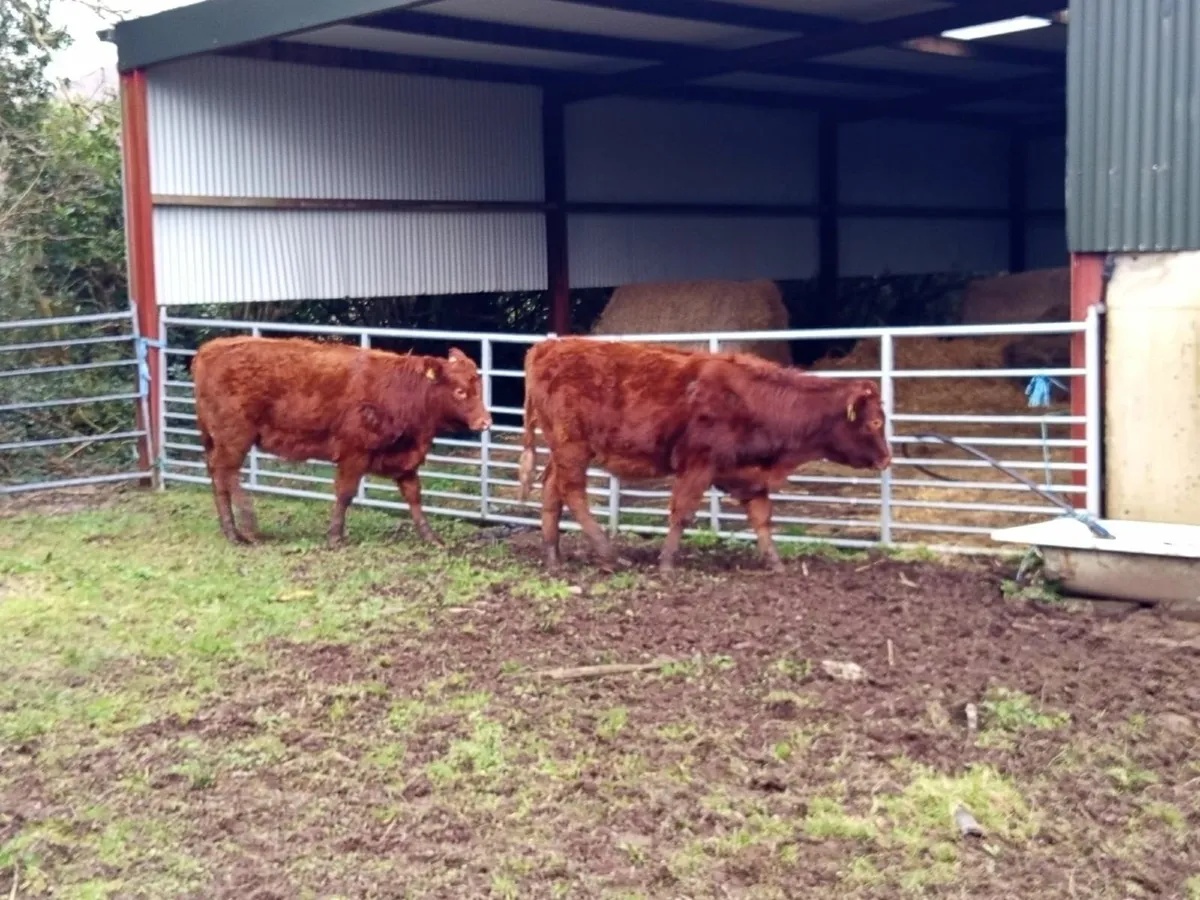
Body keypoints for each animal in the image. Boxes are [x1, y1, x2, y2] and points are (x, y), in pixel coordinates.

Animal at [192, 336, 491, 547]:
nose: (485, 421)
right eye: (460, 391)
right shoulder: (353, 453)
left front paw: (431, 537)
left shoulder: (405, 460)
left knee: (218, 478)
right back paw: (247, 527)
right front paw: (335, 536)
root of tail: (210, 349)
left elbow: (414, 497)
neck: (403, 390)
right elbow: (345, 493)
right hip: (234, 438)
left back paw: (231, 530)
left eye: (479, 387)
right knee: (226, 474)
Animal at [517, 337, 892, 573]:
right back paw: (609, 555)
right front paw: (667, 563)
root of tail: (549, 346)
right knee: (573, 493)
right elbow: (682, 513)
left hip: (562, 449)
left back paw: (553, 555)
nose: (888, 459)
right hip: (572, 446)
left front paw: (775, 562)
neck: (755, 400)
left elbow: (762, 518)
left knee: (552, 489)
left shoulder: (748, 474)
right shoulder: (698, 464)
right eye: (875, 421)